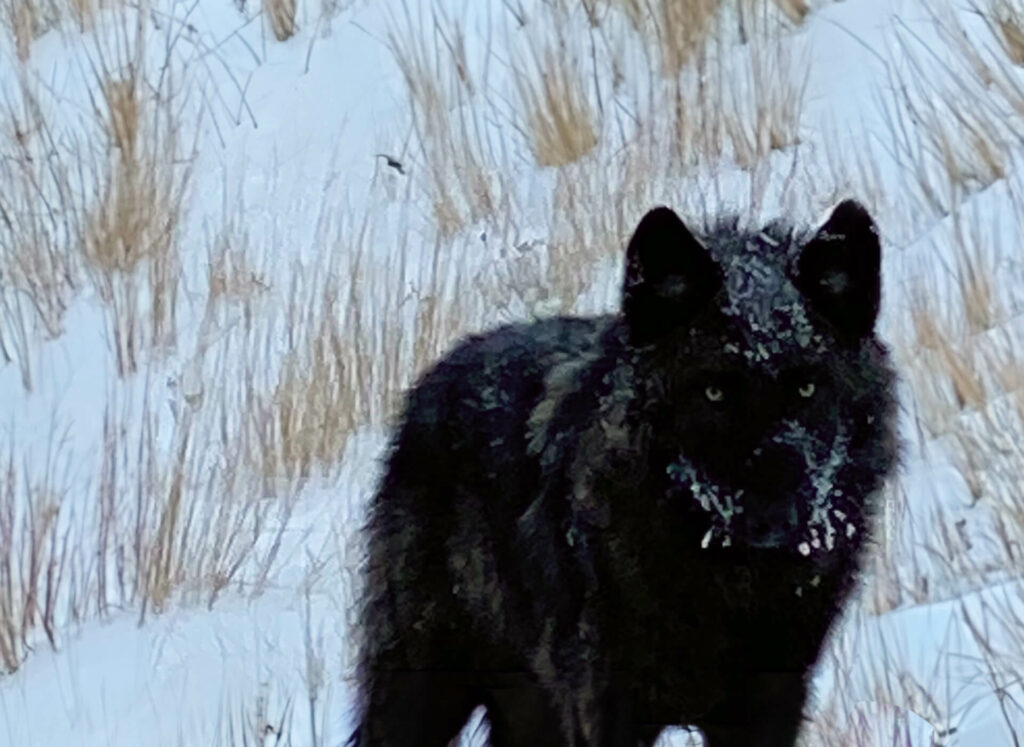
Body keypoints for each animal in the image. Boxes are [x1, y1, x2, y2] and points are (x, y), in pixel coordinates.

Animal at [350, 200, 897, 741]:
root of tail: (433, 379)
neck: (724, 584)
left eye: (807, 388)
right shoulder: (606, 705)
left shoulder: (771, 704)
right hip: (423, 692)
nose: (776, 517)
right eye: (714, 392)